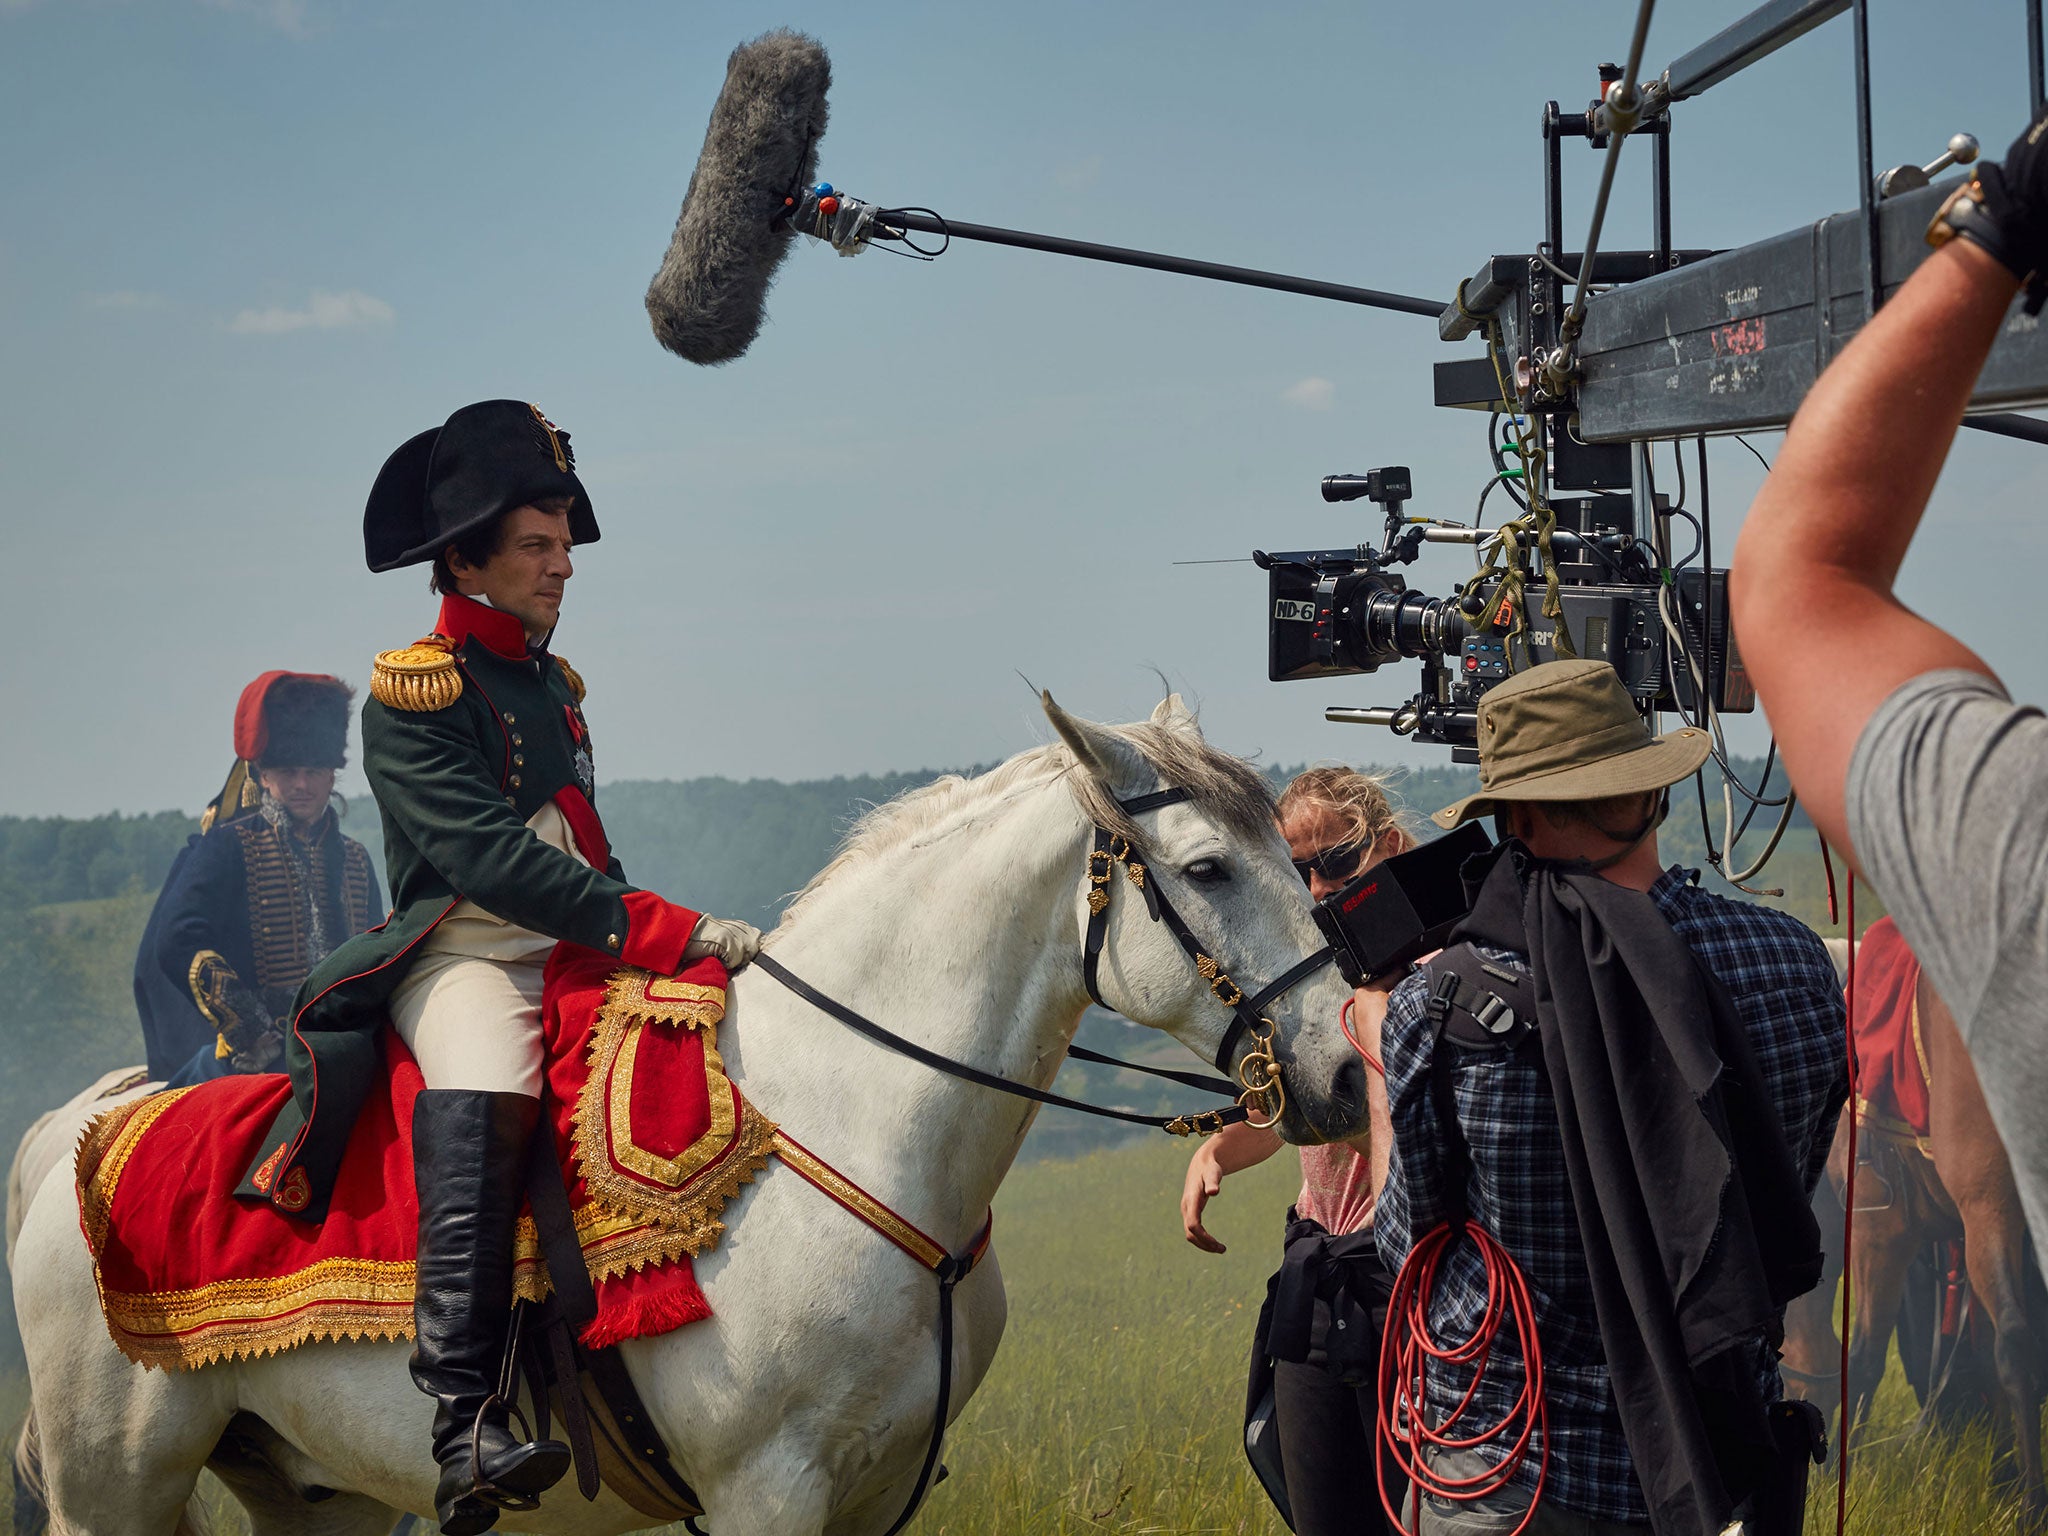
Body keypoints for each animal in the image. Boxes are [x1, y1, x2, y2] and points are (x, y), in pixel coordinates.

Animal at [16, 700, 1368, 1536]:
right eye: (1205, 869)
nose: (1345, 1075)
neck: (845, 1123)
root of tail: (81, 1129)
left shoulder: (873, 1498)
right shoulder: (768, 1495)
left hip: (321, 1496)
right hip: (111, 1494)